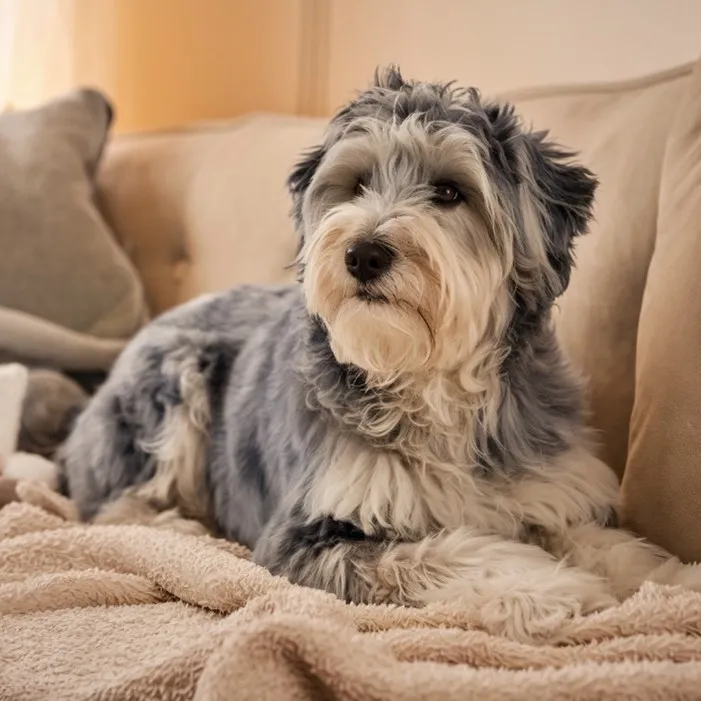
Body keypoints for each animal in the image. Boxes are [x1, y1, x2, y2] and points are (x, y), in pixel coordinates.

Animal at [58, 67, 700, 640]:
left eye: (450, 191)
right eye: (357, 183)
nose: (363, 253)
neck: (428, 380)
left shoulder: (551, 492)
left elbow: (609, 545)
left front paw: (671, 581)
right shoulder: (302, 536)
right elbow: (441, 554)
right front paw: (551, 589)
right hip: (174, 378)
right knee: (115, 508)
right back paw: (178, 527)